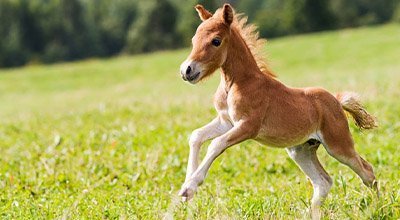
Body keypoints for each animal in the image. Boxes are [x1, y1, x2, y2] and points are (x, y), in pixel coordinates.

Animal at [178, 3, 378, 218]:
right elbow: (196, 136)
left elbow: (216, 144)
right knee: (323, 181)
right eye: (193, 40)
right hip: (300, 150)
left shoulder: (248, 126)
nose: (187, 70)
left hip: (338, 145)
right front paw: (187, 185)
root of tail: (337, 102)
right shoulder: (227, 122)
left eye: (216, 41)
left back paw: (377, 207)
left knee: (367, 171)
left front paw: (189, 187)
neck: (237, 83)